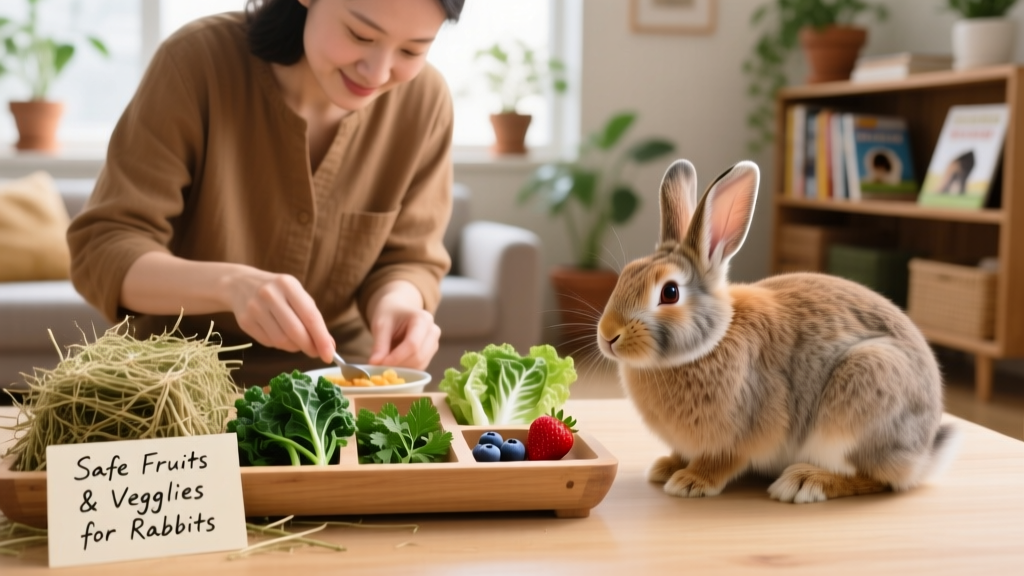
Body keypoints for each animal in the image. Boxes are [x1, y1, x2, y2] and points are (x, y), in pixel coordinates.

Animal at [596, 159, 960, 503]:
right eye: (626, 275)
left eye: (670, 293)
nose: (608, 335)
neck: (711, 342)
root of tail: (922, 453)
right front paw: (666, 466)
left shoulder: (744, 432)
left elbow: (723, 460)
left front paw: (690, 481)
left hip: (860, 399)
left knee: (876, 478)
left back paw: (805, 482)